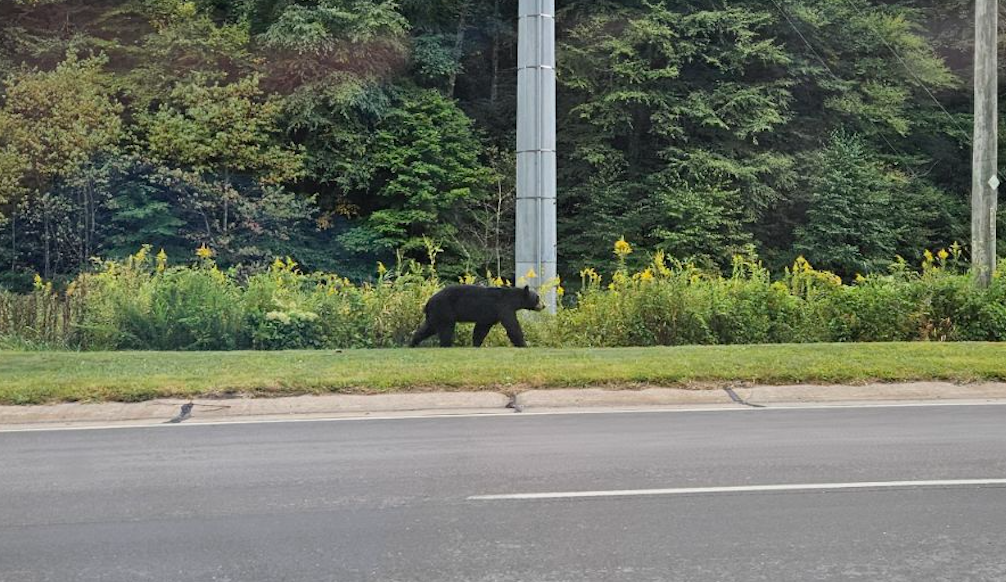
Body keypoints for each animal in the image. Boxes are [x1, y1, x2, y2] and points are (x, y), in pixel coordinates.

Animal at [410, 285, 547, 347]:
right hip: (445, 310)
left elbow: (481, 328)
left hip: (436, 314)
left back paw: (413, 342)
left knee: (428, 328)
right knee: (446, 329)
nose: (544, 305)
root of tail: (428, 302)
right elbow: (512, 325)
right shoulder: (504, 307)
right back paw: (446, 345)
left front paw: (476, 343)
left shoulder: (488, 315)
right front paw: (524, 344)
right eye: (537, 297)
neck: (513, 299)